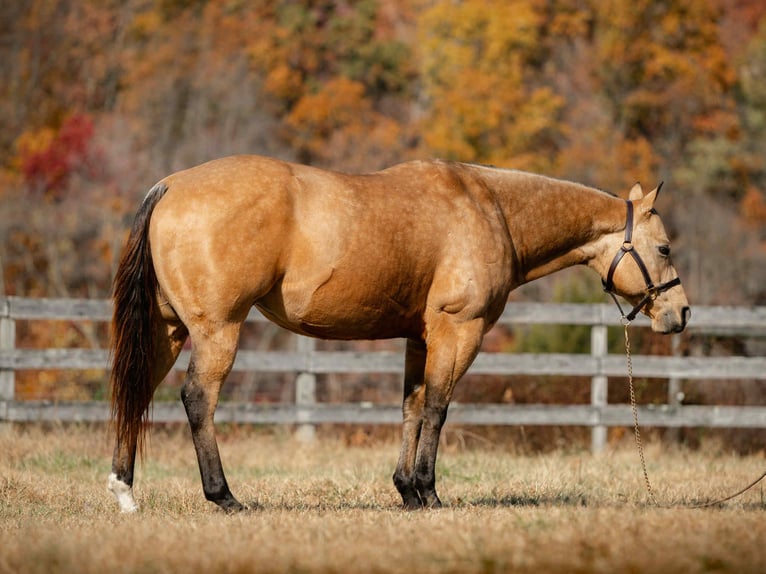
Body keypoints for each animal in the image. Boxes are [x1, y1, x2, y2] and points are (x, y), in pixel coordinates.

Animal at [108, 155, 690, 513]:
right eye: (664, 248)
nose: (681, 313)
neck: (492, 208)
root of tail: (171, 185)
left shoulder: (420, 337)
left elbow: (411, 408)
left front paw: (407, 491)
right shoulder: (459, 331)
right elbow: (437, 408)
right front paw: (429, 493)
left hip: (168, 330)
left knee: (136, 392)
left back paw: (124, 490)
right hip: (218, 331)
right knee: (197, 400)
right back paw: (224, 496)